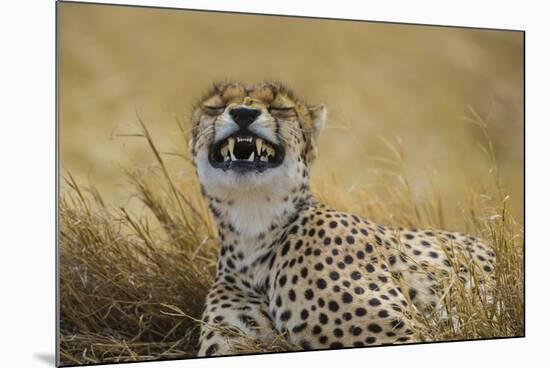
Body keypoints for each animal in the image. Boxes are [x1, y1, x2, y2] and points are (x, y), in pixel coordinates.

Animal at [189, 81, 496, 356]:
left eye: (279, 107)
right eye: (216, 106)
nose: (243, 113)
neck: (253, 229)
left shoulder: (405, 334)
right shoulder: (233, 343)